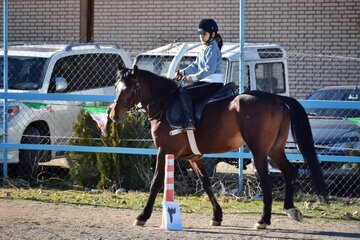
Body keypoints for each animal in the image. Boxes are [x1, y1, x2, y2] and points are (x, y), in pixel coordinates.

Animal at [108, 64, 328, 230]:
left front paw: (142, 216)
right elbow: (206, 183)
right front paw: (217, 216)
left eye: (130, 88)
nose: (114, 115)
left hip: (259, 152)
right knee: (290, 171)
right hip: (275, 150)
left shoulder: (164, 151)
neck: (165, 104)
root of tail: (277, 99)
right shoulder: (194, 157)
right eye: (116, 87)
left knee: (267, 181)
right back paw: (290, 209)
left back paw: (263, 220)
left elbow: (155, 183)